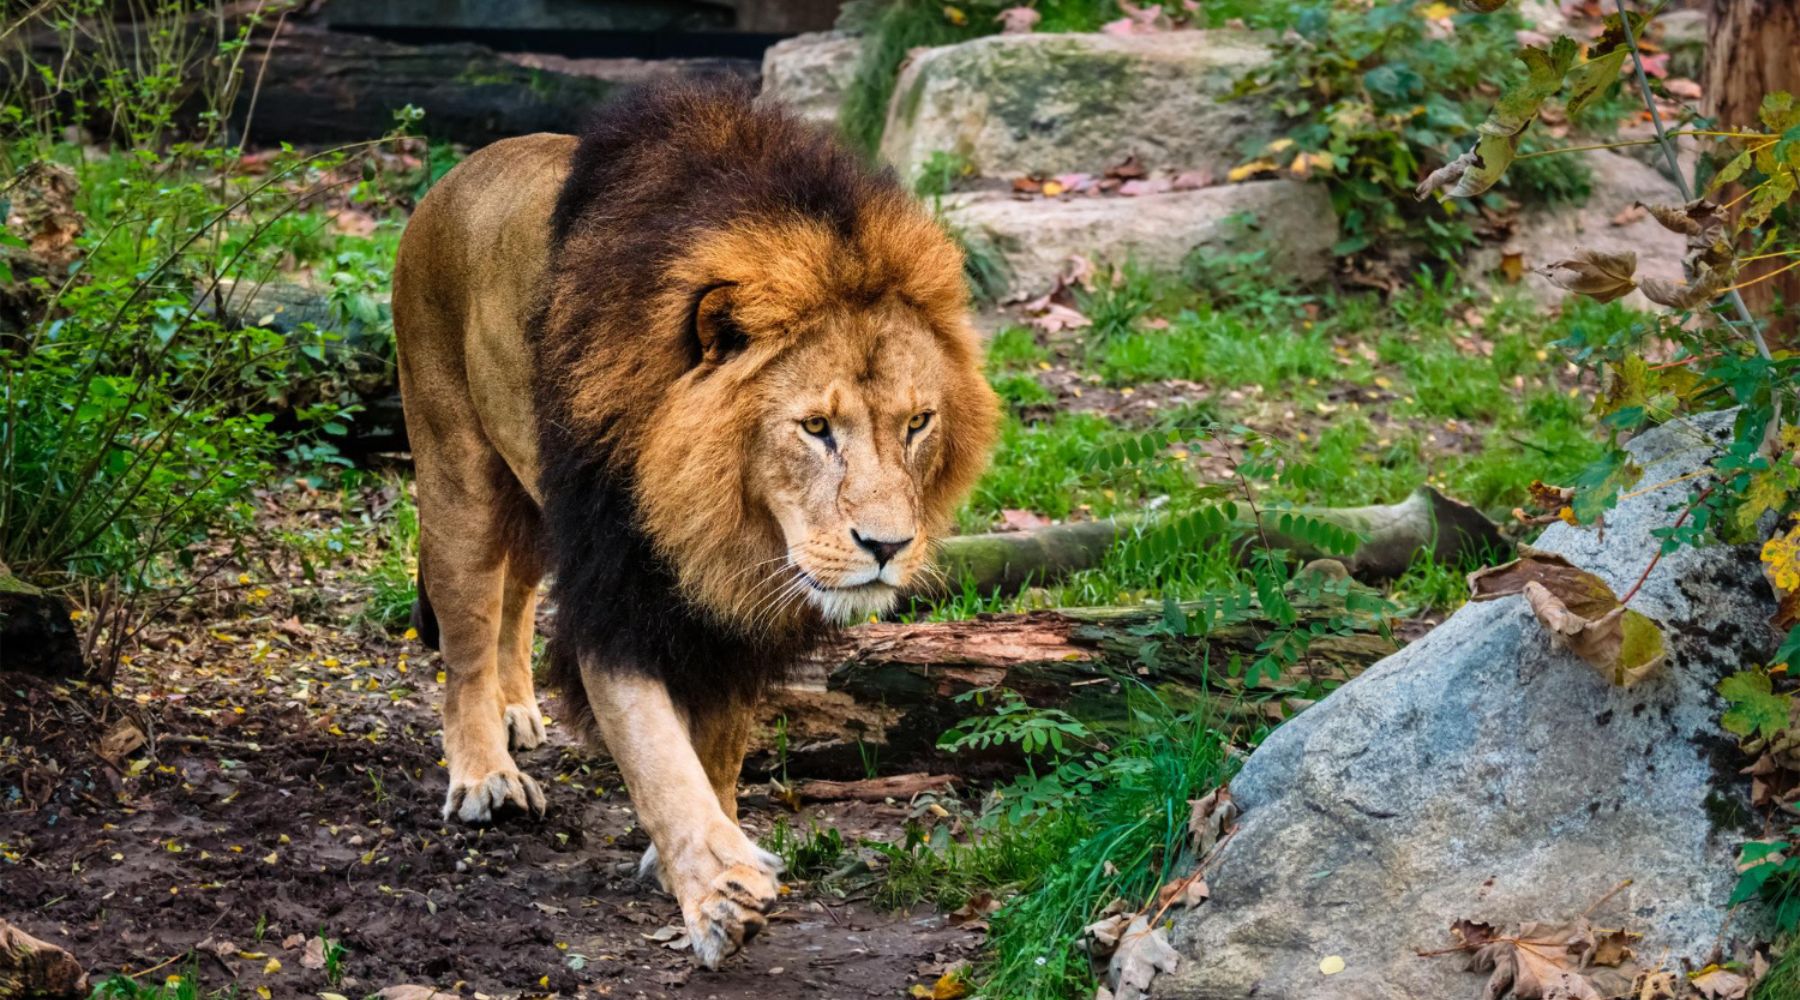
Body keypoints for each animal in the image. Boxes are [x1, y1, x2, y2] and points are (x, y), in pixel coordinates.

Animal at [389, 79, 998, 966]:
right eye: (816, 428)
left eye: (918, 423)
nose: (887, 547)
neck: (722, 522)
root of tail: (458, 172)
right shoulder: (616, 593)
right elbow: (657, 755)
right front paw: (718, 890)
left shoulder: (739, 608)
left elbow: (717, 746)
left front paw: (716, 844)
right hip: (455, 472)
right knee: (466, 633)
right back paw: (484, 774)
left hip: (535, 502)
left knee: (515, 595)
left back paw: (517, 711)